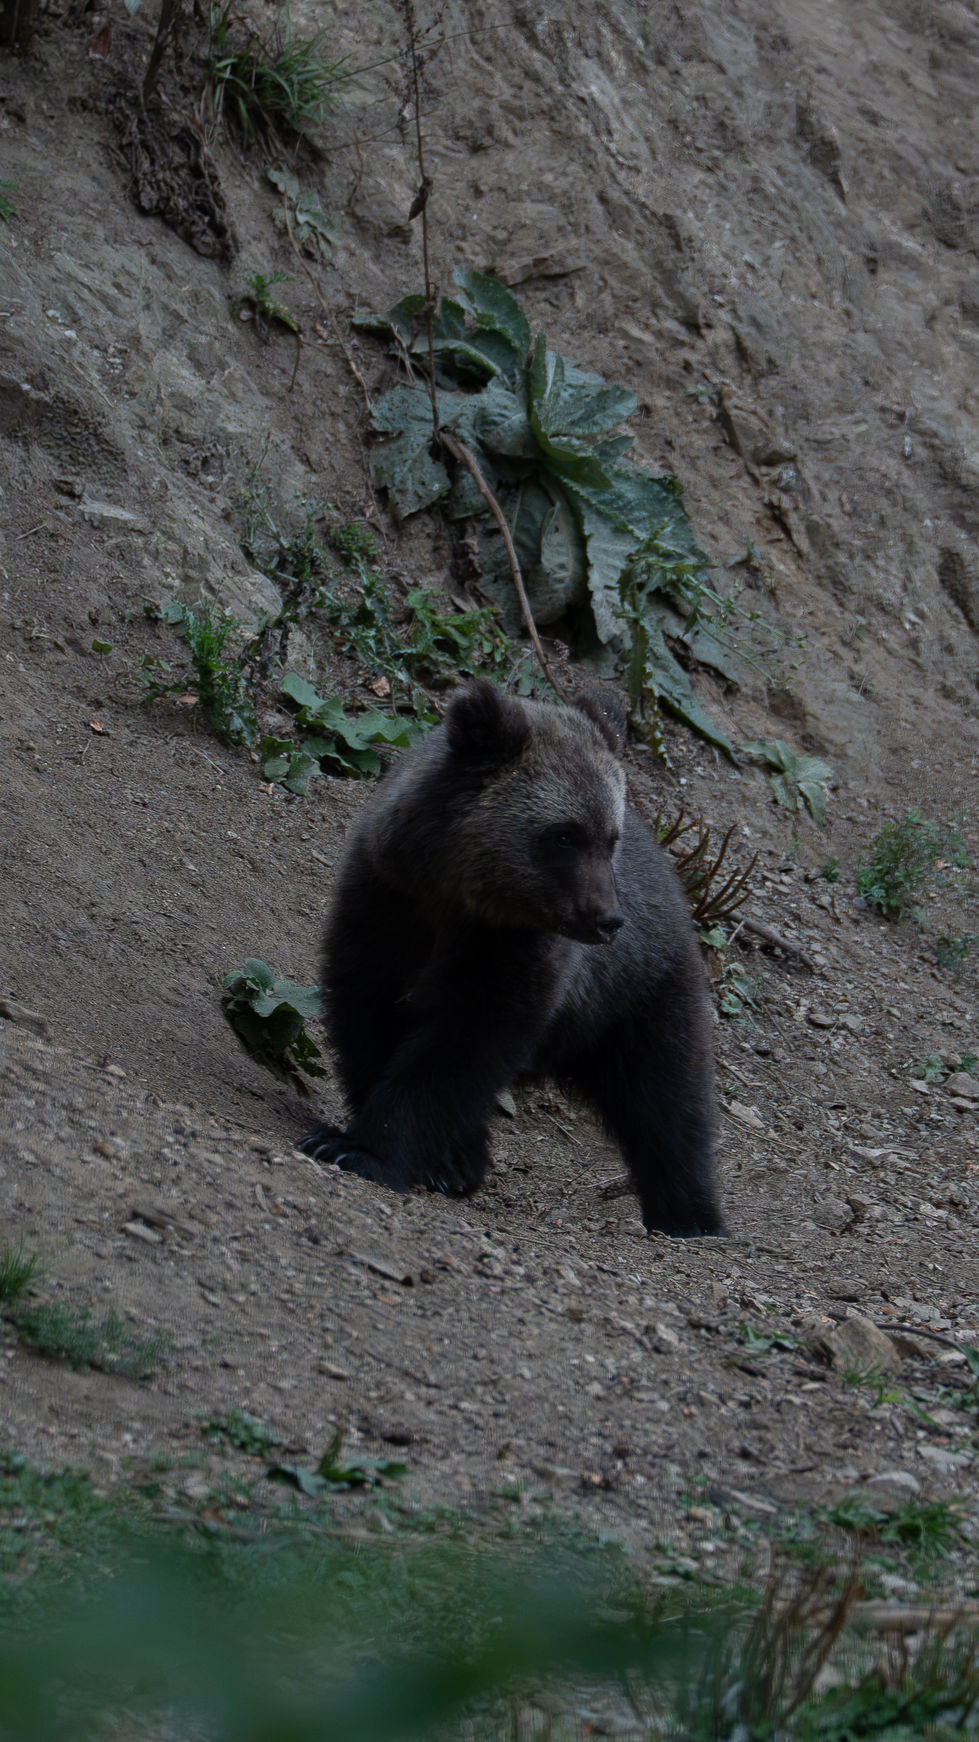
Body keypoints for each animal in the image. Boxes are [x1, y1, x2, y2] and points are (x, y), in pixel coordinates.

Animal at [302, 678, 725, 1237]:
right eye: (564, 835)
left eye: (608, 839)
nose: (607, 919)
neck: (457, 897)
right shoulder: (386, 904)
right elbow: (368, 1012)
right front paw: (423, 1156)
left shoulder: (516, 952)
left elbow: (464, 1043)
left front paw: (364, 1149)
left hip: (636, 995)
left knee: (666, 1102)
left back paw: (692, 1216)